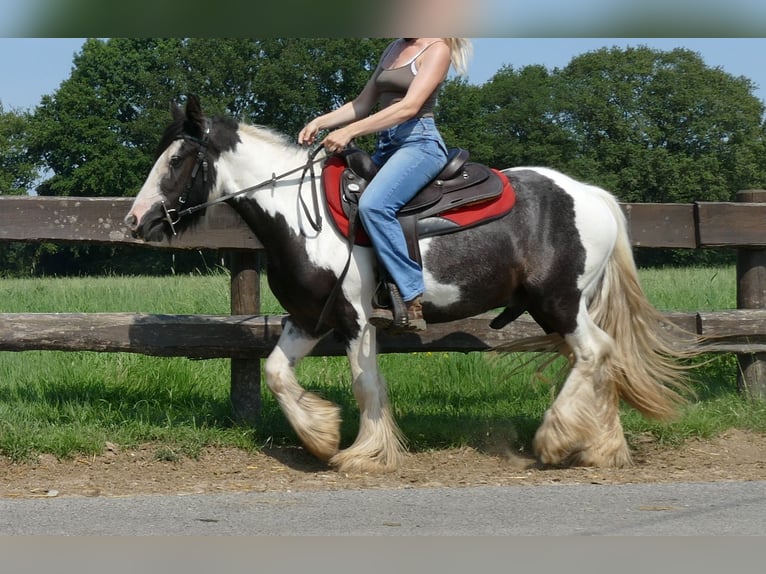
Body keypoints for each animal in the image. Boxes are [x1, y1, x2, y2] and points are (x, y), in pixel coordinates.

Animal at [123, 94, 700, 472]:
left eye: (177, 159)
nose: (134, 221)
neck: (299, 213)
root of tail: (591, 195)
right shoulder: (309, 319)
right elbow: (276, 374)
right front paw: (322, 438)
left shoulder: (355, 320)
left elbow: (365, 384)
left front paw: (363, 455)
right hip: (561, 307)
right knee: (602, 358)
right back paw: (603, 448)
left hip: (558, 302)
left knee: (596, 353)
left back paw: (556, 441)